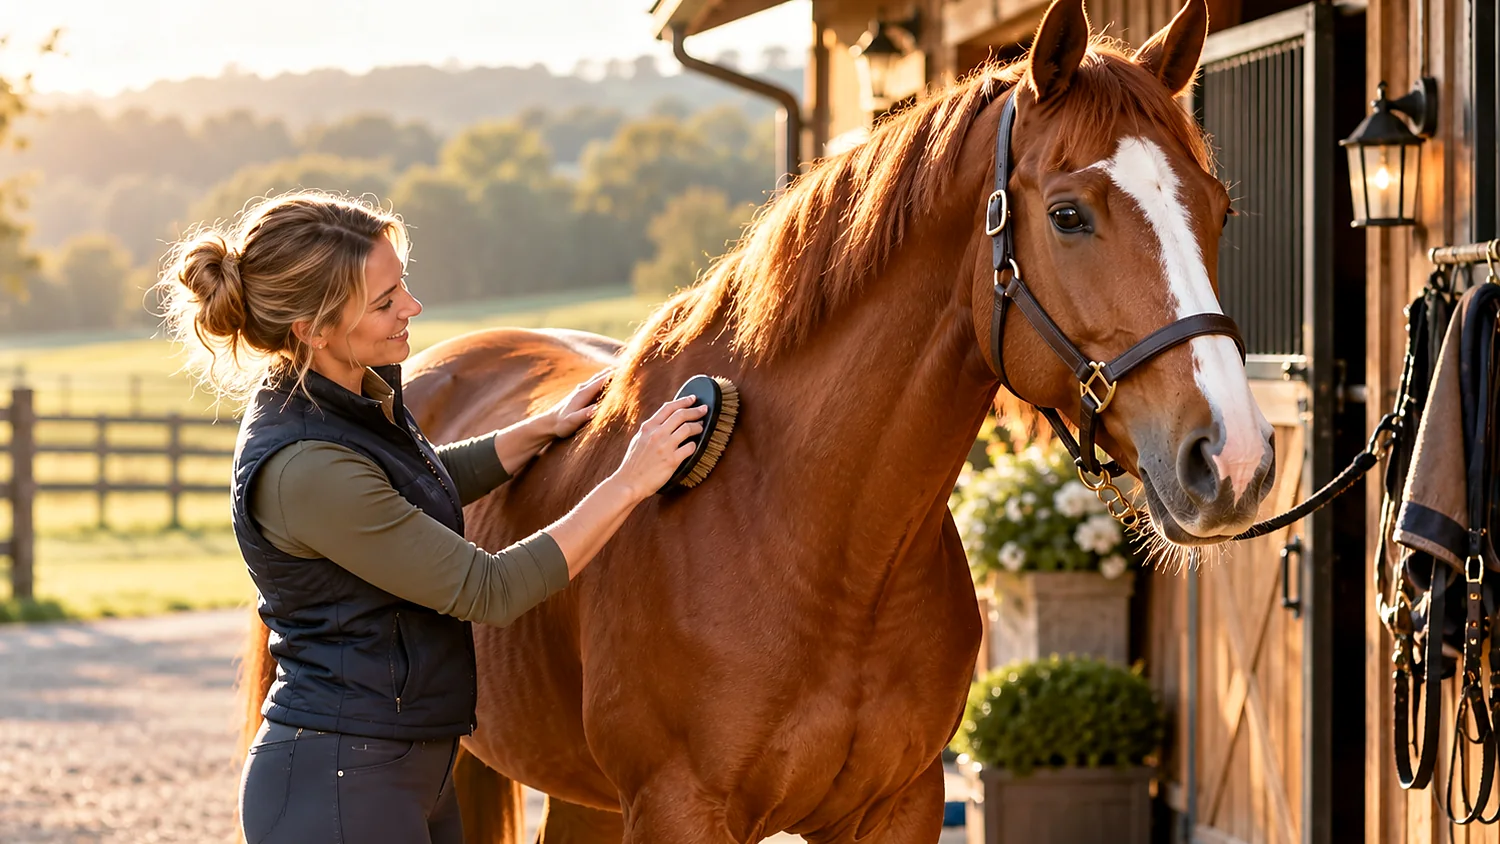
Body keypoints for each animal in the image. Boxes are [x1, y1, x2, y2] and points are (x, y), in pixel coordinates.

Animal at [239, 0, 1276, 840]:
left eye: (1220, 210)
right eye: (1067, 214)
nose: (1231, 460)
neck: (810, 538)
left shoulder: (895, 810)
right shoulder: (679, 811)